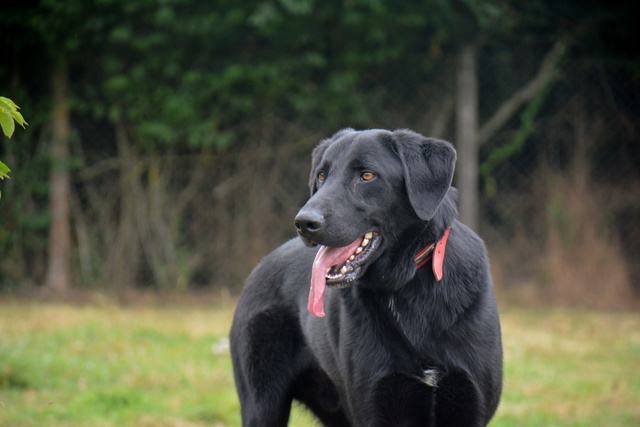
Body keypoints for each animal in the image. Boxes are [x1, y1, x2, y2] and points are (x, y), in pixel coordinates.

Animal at [231, 130, 504, 427]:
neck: (406, 286)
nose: (304, 223)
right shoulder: (376, 405)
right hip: (263, 406)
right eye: (322, 176)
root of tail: (261, 265)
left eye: (367, 175)